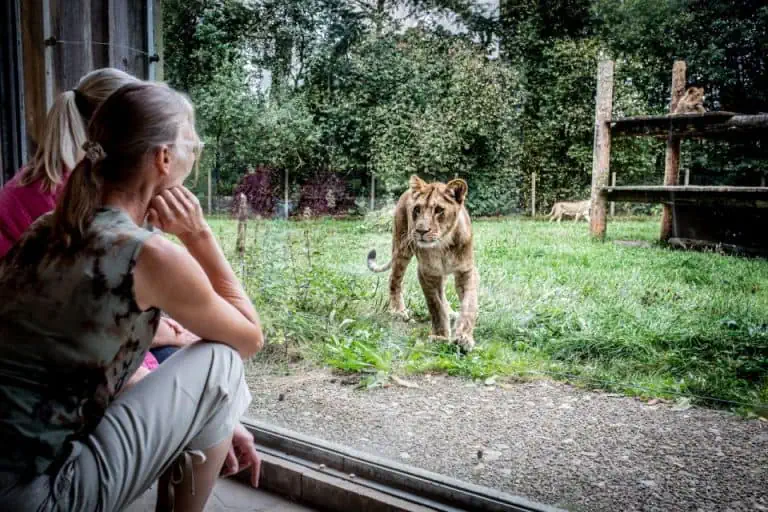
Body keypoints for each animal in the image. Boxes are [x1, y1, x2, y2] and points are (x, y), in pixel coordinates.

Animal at [368, 176, 480, 352]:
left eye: (439, 210)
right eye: (417, 209)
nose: (421, 231)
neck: (444, 245)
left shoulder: (467, 271)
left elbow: (469, 304)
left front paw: (463, 338)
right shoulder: (427, 273)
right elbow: (435, 305)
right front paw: (440, 336)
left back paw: (451, 313)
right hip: (402, 248)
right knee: (394, 279)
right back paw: (398, 312)